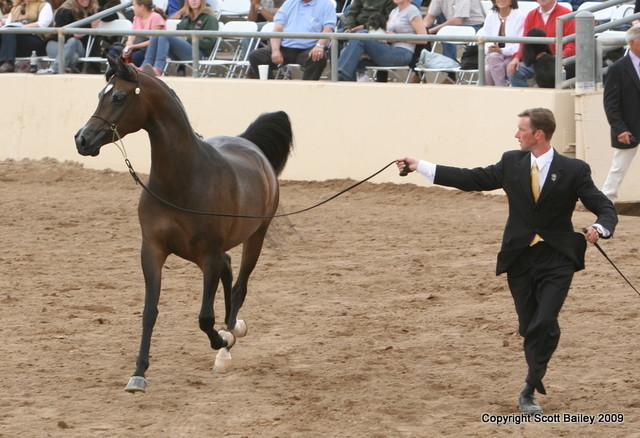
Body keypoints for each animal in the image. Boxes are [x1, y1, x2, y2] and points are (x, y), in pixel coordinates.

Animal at [74, 56, 293, 393]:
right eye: (101, 93)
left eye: (119, 97)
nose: (82, 139)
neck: (182, 181)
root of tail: (249, 146)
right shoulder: (152, 250)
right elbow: (149, 311)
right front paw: (139, 373)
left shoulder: (208, 256)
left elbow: (204, 317)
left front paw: (222, 341)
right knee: (229, 271)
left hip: (255, 237)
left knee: (239, 287)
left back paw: (229, 341)